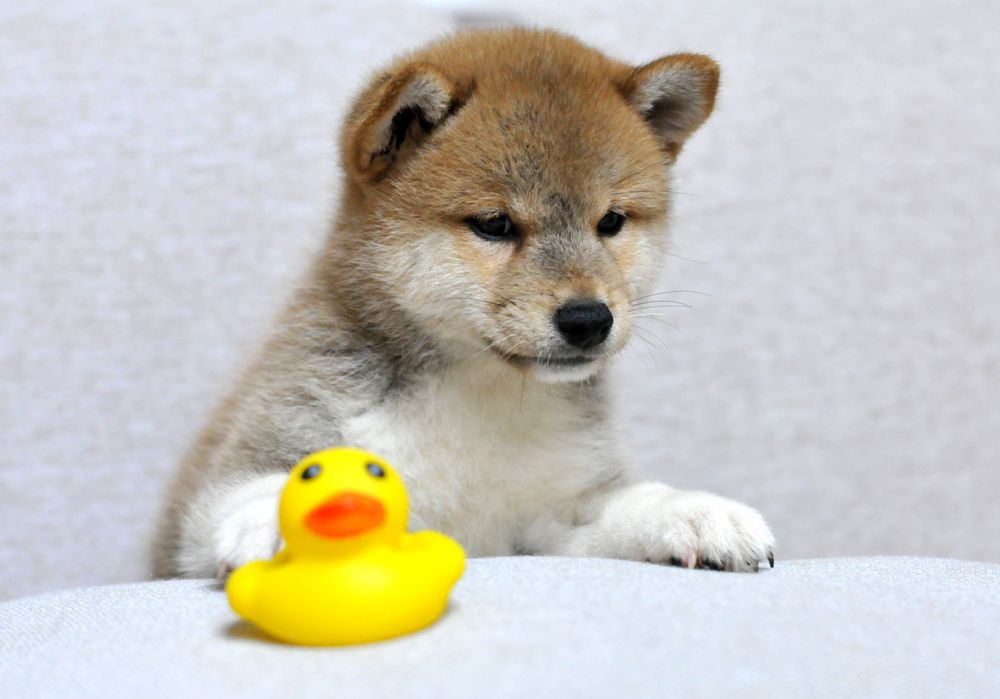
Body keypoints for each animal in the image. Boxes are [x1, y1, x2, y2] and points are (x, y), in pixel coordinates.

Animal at [152, 28, 775, 579]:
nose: (589, 319)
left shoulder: (552, 513)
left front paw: (698, 512)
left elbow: (637, 499)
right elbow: (264, 490)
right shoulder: (259, 455)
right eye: (495, 224)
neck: (476, 393)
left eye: (612, 222)